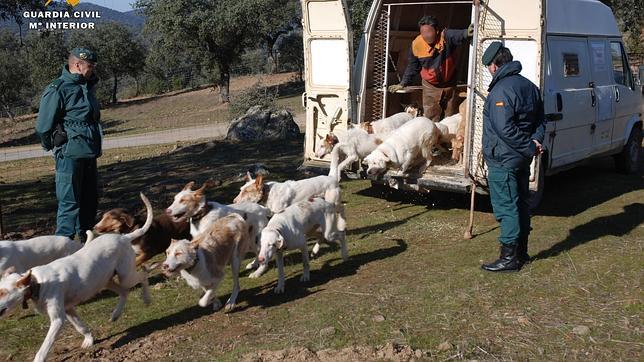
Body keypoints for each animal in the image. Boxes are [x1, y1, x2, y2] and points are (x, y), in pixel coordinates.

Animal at [0, 192, 153, 362]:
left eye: (3, 292)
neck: (37, 282)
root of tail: (124, 237)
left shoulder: (58, 320)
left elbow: (44, 346)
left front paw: (39, 358)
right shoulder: (69, 310)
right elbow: (80, 326)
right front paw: (89, 340)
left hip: (126, 276)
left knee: (143, 275)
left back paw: (147, 299)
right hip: (105, 281)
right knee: (124, 292)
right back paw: (116, 314)